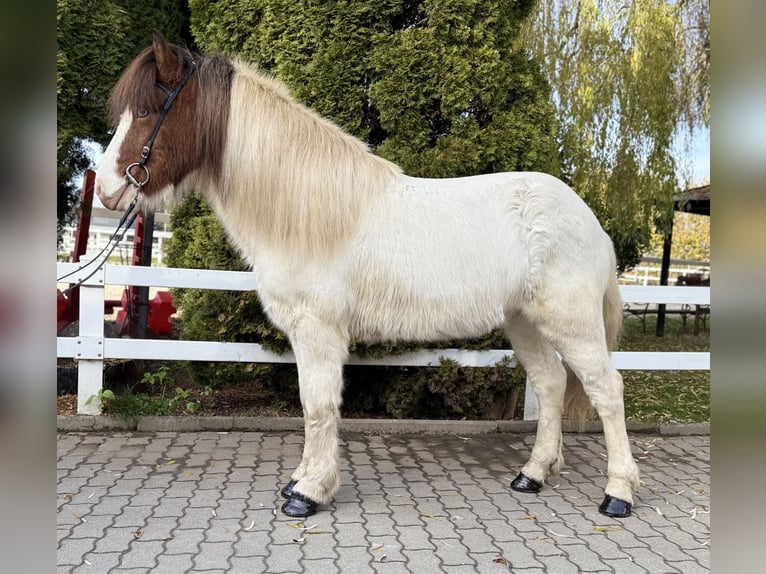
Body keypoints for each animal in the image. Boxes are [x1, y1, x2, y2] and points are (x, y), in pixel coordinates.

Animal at [95, 34, 640, 519]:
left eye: (146, 112)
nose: (106, 189)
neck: (309, 212)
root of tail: (588, 219)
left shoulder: (318, 331)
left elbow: (318, 406)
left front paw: (308, 493)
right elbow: (312, 405)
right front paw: (302, 480)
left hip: (571, 323)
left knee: (607, 390)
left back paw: (618, 494)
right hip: (525, 321)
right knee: (550, 384)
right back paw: (533, 474)